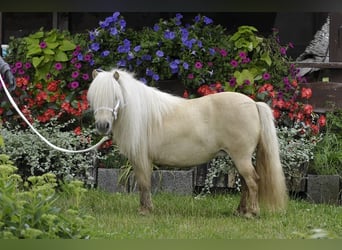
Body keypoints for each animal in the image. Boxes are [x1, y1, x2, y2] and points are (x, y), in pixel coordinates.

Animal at [88, 68, 288, 217]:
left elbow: (144, 183)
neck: (143, 115)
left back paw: (251, 214)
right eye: (93, 98)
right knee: (246, 183)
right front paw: (147, 208)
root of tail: (253, 104)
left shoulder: (141, 158)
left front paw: (144, 211)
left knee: (252, 181)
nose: (102, 126)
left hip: (241, 157)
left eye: (115, 96)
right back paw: (239, 211)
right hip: (238, 158)